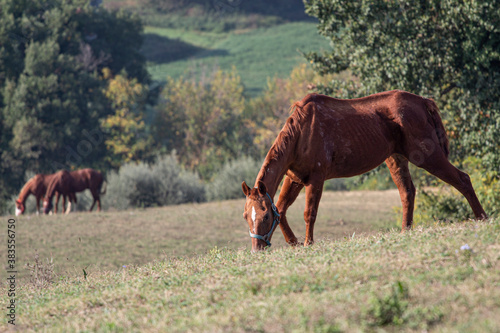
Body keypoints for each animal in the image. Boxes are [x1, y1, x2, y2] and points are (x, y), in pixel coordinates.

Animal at [240, 89, 486, 250]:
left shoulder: (315, 179)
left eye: (264, 216)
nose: (257, 249)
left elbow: (309, 213)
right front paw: (294, 242)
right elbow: (281, 208)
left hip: (429, 156)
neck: (302, 133)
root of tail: (423, 101)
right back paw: (405, 231)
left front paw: (308, 243)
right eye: (245, 216)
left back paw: (481, 218)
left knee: (462, 179)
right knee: (407, 192)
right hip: (396, 159)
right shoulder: (295, 178)